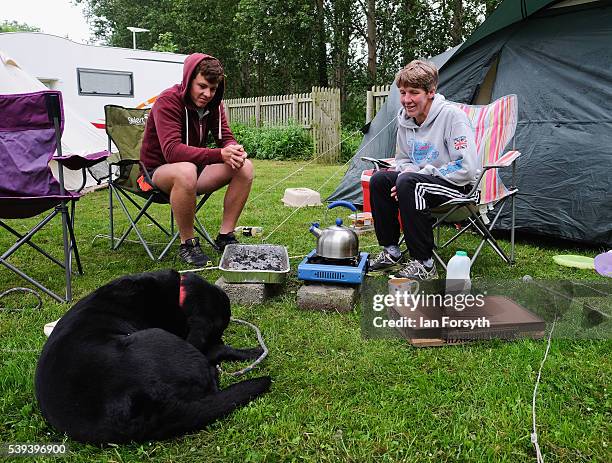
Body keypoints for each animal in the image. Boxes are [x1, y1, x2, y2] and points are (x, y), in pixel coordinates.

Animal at [35, 270, 270, 444]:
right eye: (218, 331)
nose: (219, 339)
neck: (179, 295)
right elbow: (218, 350)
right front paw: (251, 351)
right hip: (157, 335)